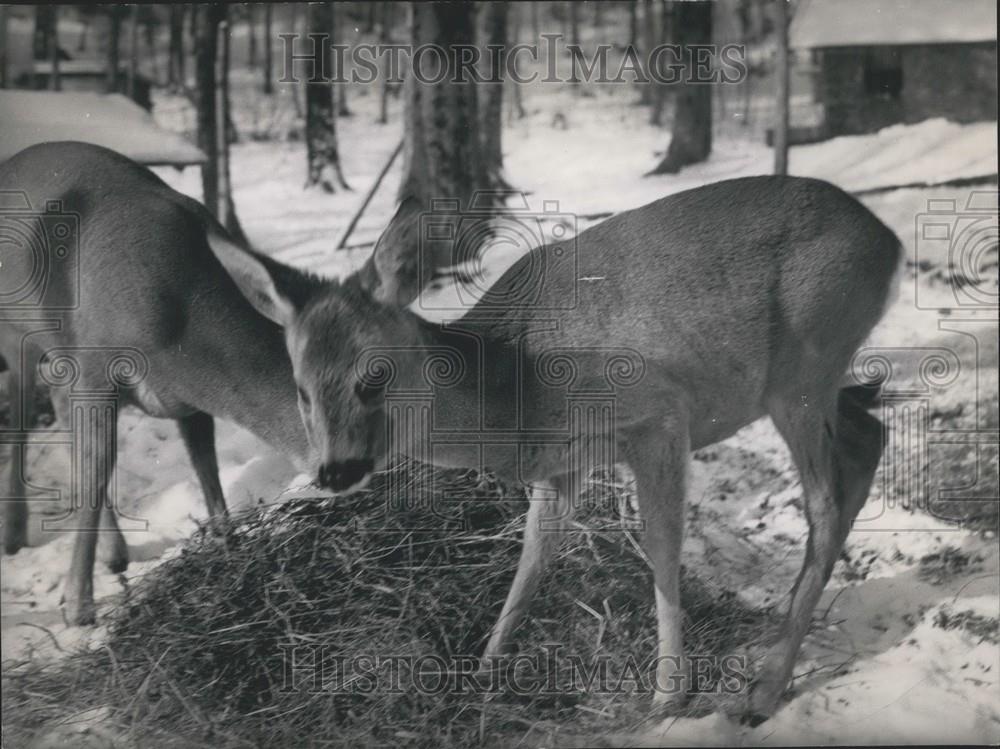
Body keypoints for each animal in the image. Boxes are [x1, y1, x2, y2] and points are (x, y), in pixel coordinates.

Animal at [0, 140, 308, 624]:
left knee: (61, 411)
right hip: (17, 331)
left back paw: (115, 552)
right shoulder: (98, 366)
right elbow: (98, 466)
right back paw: (14, 535)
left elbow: (206, 468)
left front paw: (228, 545)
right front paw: (78, 606)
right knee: (22, 414)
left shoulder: (188, 401)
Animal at [207, 172, 904, 720]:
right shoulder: (560, 468)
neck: (515, 385)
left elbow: (661, 551)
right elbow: (531, 562)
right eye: (300, 388)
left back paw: (765, 689)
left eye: (373, 374)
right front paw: (482, 677)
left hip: (802, 365)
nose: (334, 470)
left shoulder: (657, 416)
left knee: (824, 501)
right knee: (868, 436)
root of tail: (889, 240)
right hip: (811, 379)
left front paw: (666, 697)